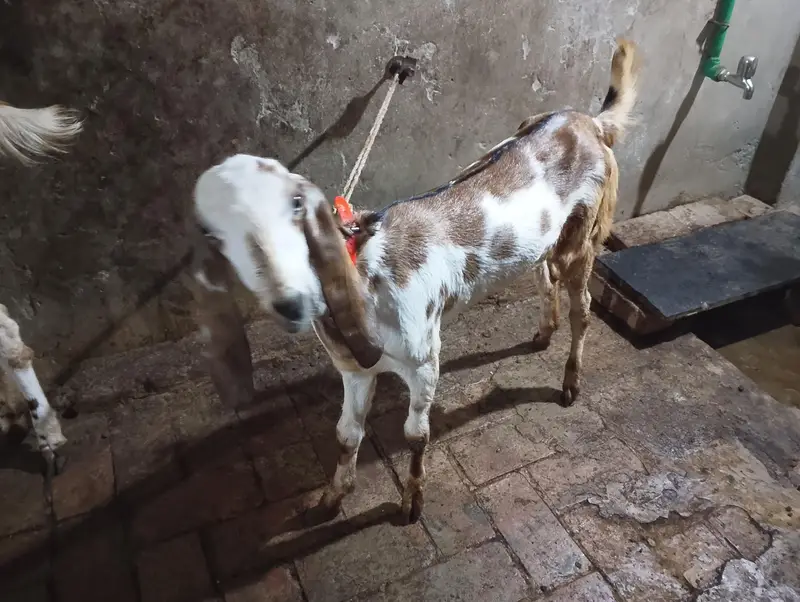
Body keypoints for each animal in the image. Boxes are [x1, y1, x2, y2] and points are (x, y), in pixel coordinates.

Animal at [191, 39, 638, 522]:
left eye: (296, 206)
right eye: (215, 234)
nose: (291, 303)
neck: (366, 275)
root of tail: (587, 121)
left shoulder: (423, 359)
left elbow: (415, 434)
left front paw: (411, 503)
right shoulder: (352, 368)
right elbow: (347, 433)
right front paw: (332, 498)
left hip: (584, 232)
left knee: (583, 307)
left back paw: (570, 382)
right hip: (544, 238)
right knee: (543, 273)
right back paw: (543, 332)